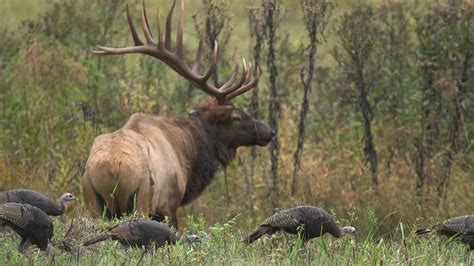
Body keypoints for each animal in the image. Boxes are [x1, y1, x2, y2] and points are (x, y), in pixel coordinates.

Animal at [83, 0, 272, 229]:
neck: (187, 153)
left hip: (93, 203)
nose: (269, 131)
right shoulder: (169, 203)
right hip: (140, 198)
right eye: (236, 117)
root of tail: (111, 168)